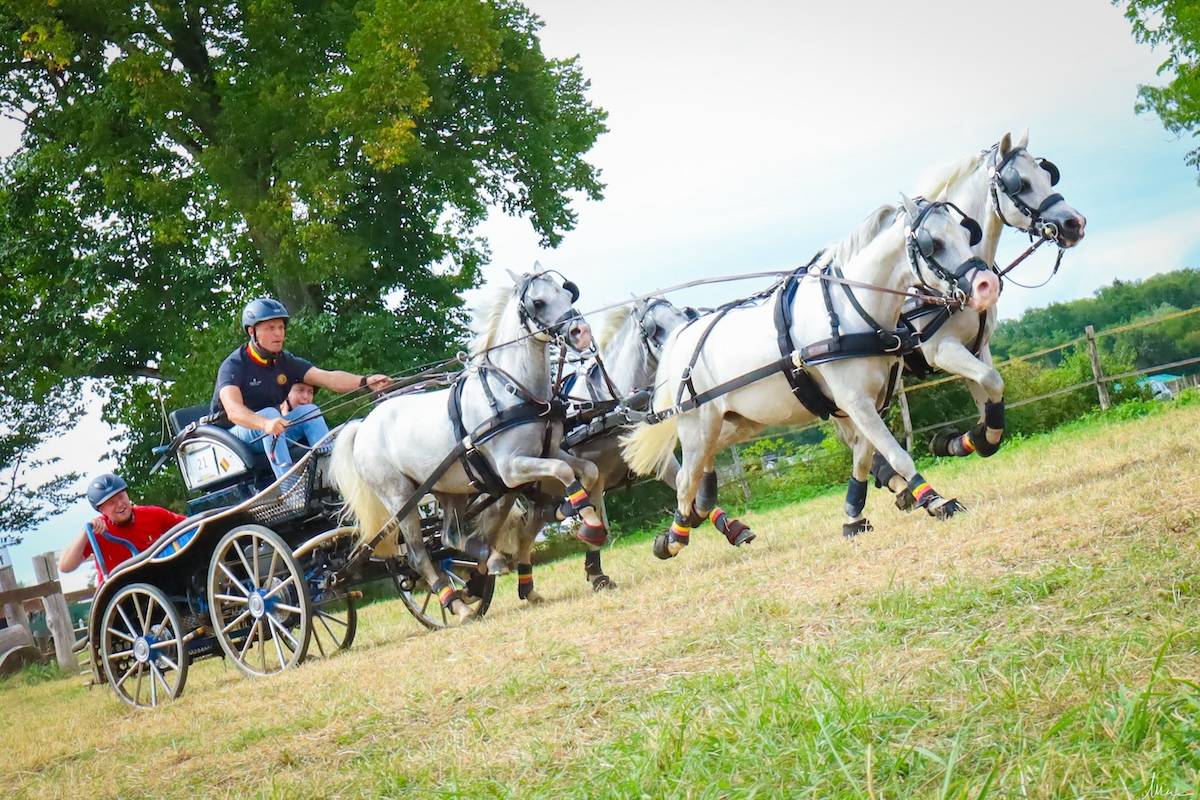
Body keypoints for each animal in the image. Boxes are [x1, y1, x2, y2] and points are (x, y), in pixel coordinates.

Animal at [331, 267, 604, 618]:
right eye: (539, 302)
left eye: (569, 293)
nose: (581, 333)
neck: (513, 391)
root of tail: (362, 426)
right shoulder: (510, 469)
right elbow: (564, 472)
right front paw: (587, 521)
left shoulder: (550, 451)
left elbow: (588, 470)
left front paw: (585, 518)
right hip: (400, 498)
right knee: (419, 554)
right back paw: (456, 603)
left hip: (449, 490)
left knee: (450, 536)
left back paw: (482, 560)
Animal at [624, 196, 998, 554]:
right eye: (933, 243)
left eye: (967, 233)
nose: (987, 285)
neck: (852, 308)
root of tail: (679, 339)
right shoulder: (857, 399)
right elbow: (894, 453)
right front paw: (935, 499)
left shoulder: (869, 401)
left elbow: (863, 456)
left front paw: (853, 517)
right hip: (698, 425)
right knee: (685, 477)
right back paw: (674, 538)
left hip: (738, 420)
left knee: (702, 464)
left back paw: (701, 507)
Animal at [873, 131, 1089, 506]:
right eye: (1020, 184)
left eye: (1048, 175)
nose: (1073, 223)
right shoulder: (943, 351)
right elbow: (992, 382)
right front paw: (959, 441)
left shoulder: (976, 348)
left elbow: (991, 395)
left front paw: (969, 441)